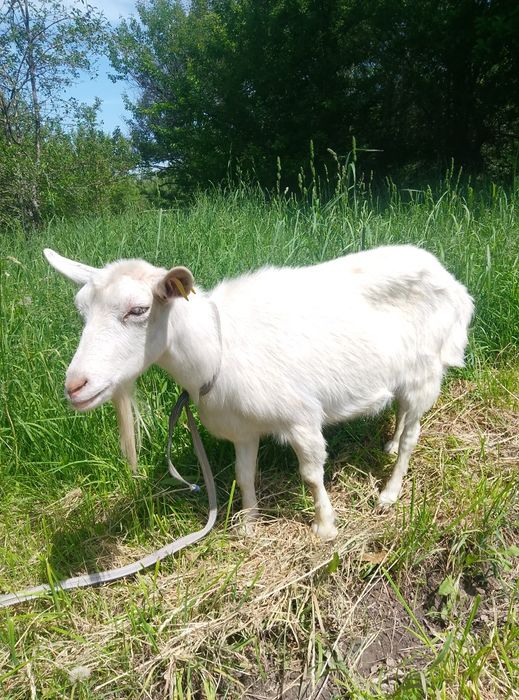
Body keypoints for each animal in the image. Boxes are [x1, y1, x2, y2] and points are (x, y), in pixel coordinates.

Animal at [44, 245, 473, 541]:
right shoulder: (243, 429)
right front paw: (248, 522)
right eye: (82, 309)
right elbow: (244, 474)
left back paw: (390, 491)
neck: (217, 347)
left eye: (138, 310)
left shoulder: (301, 418)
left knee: (413, 435)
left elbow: (311, 475)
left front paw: (325, 527)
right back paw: (390, 443)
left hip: (424, 370)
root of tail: (453, 283)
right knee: (402, 414)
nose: (75, 386)